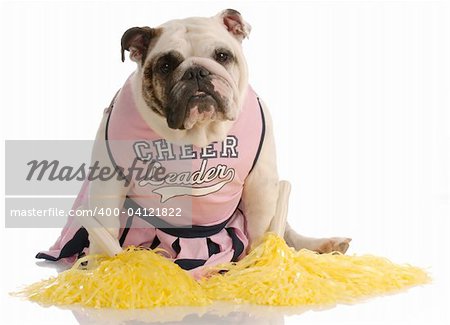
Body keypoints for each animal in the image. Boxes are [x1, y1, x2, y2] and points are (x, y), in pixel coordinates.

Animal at [36, 8, 352, 276]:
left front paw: (263, 265)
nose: (197, 71)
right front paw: (101, 271)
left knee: (285, 230)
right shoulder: (109, 185)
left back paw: (324, 245)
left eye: (222, 55)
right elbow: (106, 232)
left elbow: (263, 231)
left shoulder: (261, 184)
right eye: (165, 65)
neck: (198, 133)